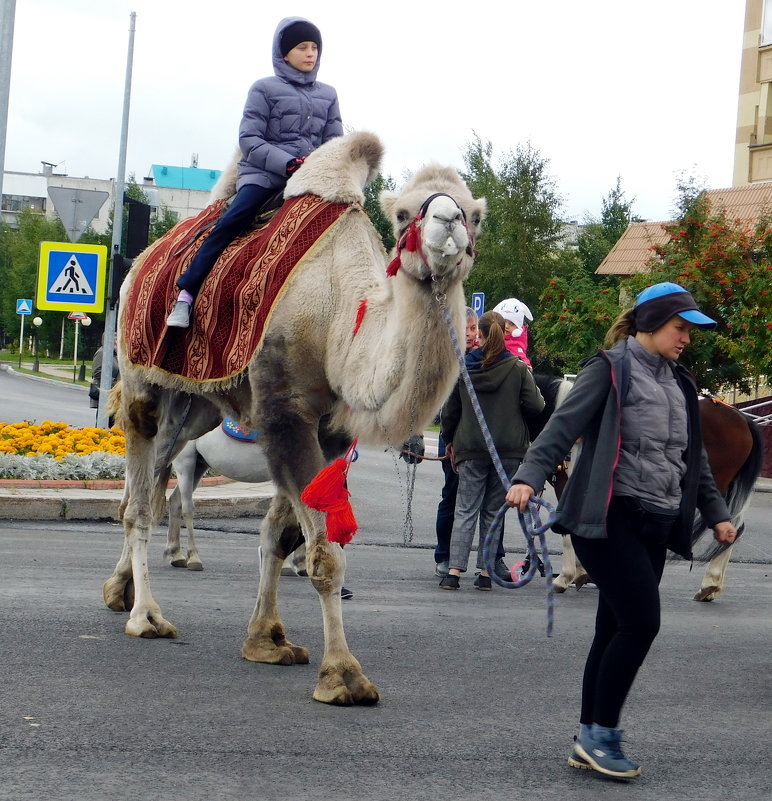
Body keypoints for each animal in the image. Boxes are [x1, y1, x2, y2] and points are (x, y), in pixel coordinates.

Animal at [102, 133, 486, 708]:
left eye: (475, 215)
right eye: (401, 214)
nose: (448, 222)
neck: (337, 318)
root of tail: (141, 263)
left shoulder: (328, 433)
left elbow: (280, 537)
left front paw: (267, 640)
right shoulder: (283, 411)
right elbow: (324, 555)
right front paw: (343, 675)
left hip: (194, 410)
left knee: (143, 490)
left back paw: (119, 591)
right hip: (142, 380)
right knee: (139, 499)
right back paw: (146, 616)